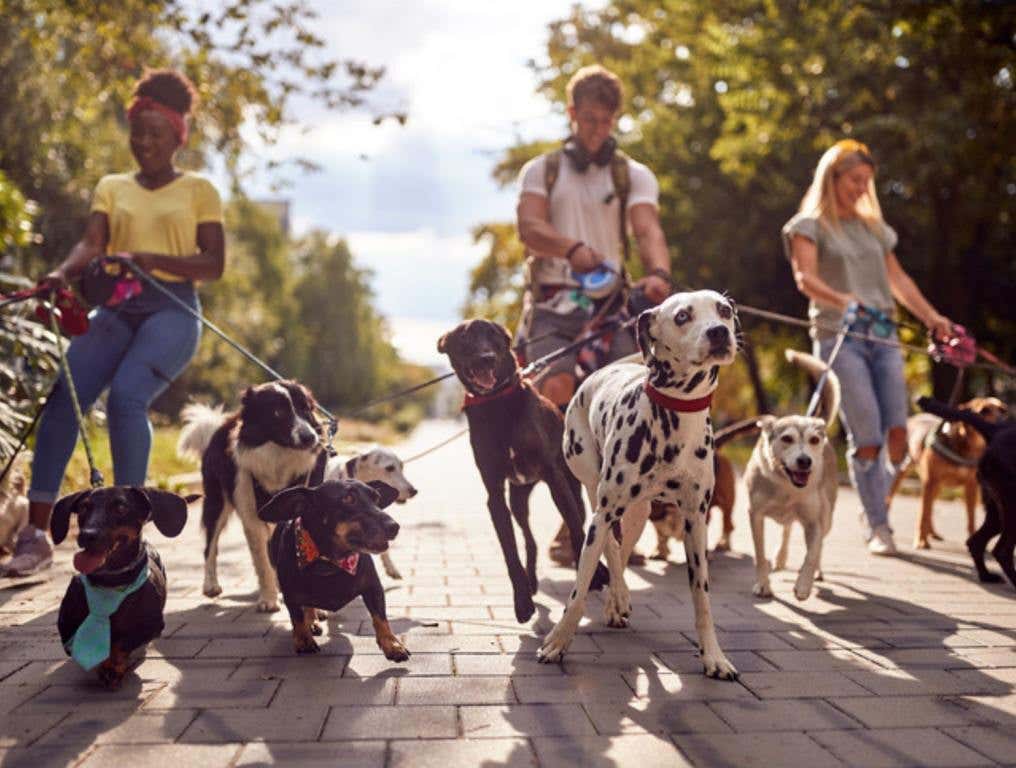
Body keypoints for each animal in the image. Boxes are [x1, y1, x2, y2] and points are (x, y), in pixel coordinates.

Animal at [176, 384, 327, 613]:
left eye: (305, 409)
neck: (278, 458)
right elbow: (262, 563)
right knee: (210, 546)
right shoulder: (252, 517)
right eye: (278, 412)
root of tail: (223, 423)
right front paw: (269, 600)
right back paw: (211, 585)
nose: (310, 437)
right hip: (216, 502)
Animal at [536, 288, 743, 678]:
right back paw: (616, 598)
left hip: (639, 512)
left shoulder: (695, 522)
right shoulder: (602, 516)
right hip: (595, 492)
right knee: (610, 545)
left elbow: (702, 598)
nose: (719, 333)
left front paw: (714, 656)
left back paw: (618, 599)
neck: (676, 417)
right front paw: (557, 642)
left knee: (622, 547)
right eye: (682, 316)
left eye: (724, 310)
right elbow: (578, 591)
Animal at [747, 351, 841, 601]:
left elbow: (812, 552)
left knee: (818, 541)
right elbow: (759, 555)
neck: (786, 487)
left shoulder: (815, 519)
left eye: (813, 440)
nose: (805, 461)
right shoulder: (755, 515)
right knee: (787, 528)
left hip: (828, 513)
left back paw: (815, 572)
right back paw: (780, 558)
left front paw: (804, 585)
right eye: (787, 438)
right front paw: (763, 585)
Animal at [890, 398, 1007, 548]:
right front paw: (921, 541)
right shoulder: (930, 482)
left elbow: (971, 517)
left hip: (938, 487)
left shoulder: (971, 486)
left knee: (931, 509)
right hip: (902, 474)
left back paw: (933, 533)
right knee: (889, 500)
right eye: (984, 411)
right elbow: (923, 515)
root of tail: (913, 418)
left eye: (1003, 410)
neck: (965, 448)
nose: (1002, 422)